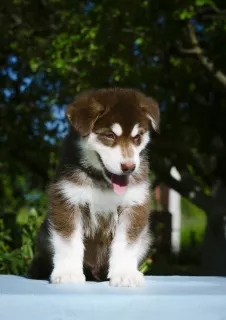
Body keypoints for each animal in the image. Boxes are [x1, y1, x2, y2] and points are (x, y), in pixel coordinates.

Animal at [30, 87, 160, 288]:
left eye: (137, 137)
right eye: (110, 136)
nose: (129, 167)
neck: (103, 182)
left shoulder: (134, 205)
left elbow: (126, 243)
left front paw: (125, 273)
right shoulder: (66, 199)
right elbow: (68, 242)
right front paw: (68, 273)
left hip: (146, 236)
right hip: (44, 233)